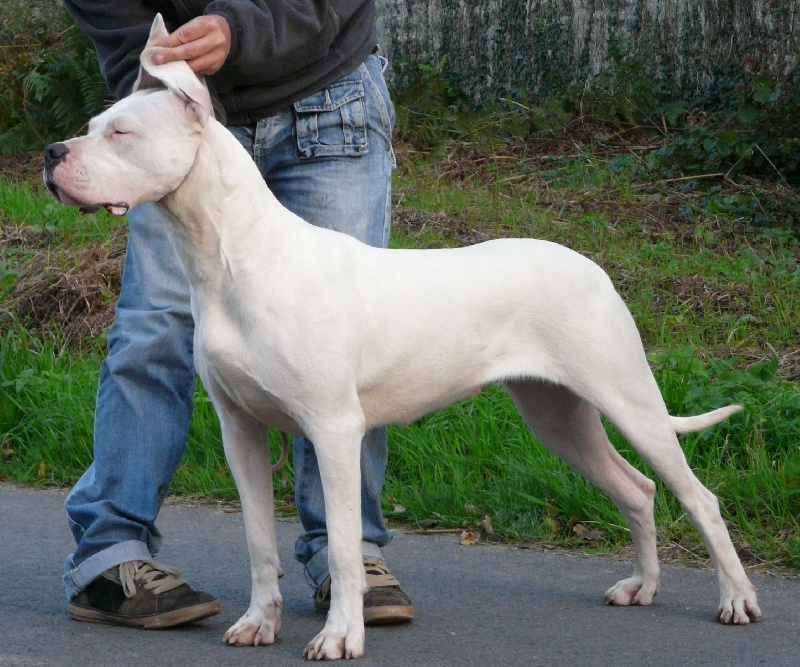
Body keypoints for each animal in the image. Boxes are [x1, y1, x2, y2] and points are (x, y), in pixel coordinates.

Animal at [44, 15, 760, 660]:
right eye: (91, 127)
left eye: (122, 132)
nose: (53, 155)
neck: (230, 258)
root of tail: (592, 266)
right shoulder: (240, 431)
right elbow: (257, 541)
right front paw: (258, 623)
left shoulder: (333, 430)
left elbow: (341, 545)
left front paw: (340, 636)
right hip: (557, 415)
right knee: (637, 490)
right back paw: (642, 586)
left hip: (627, 399)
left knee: (698, 497)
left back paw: (736, 599)